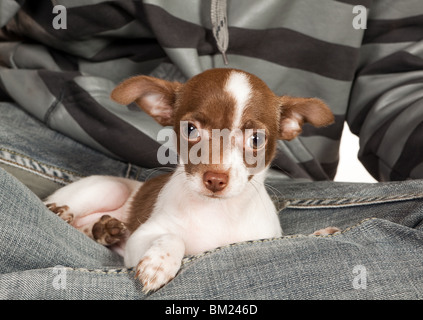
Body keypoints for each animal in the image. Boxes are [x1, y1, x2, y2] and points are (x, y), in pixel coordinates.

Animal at [44, 68, 336, 292]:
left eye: (256, 139)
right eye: (191, 130)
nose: (215, 179)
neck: (217, 212)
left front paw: (323, 234)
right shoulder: (141, 238)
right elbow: (173, 237)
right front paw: (160, 263)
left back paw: (104, 229)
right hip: (109, 187)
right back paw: (62, 213)